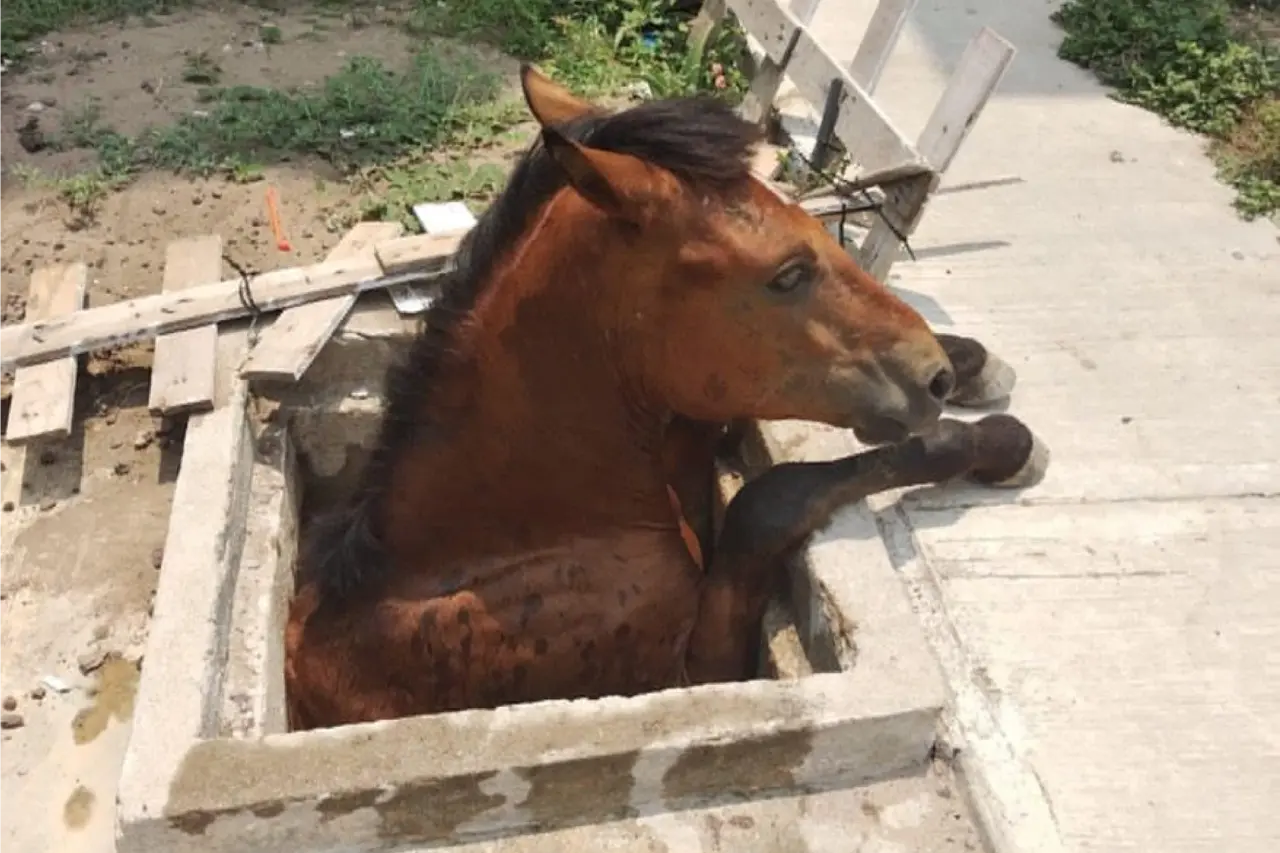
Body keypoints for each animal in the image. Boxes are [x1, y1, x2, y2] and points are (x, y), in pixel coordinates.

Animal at [282, 64, 1049, 732]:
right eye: (787, 274)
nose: (932, 380)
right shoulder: (693, 670)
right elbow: (768, 499)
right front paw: (1000, 440)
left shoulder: (690, 404)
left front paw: (974, 364)